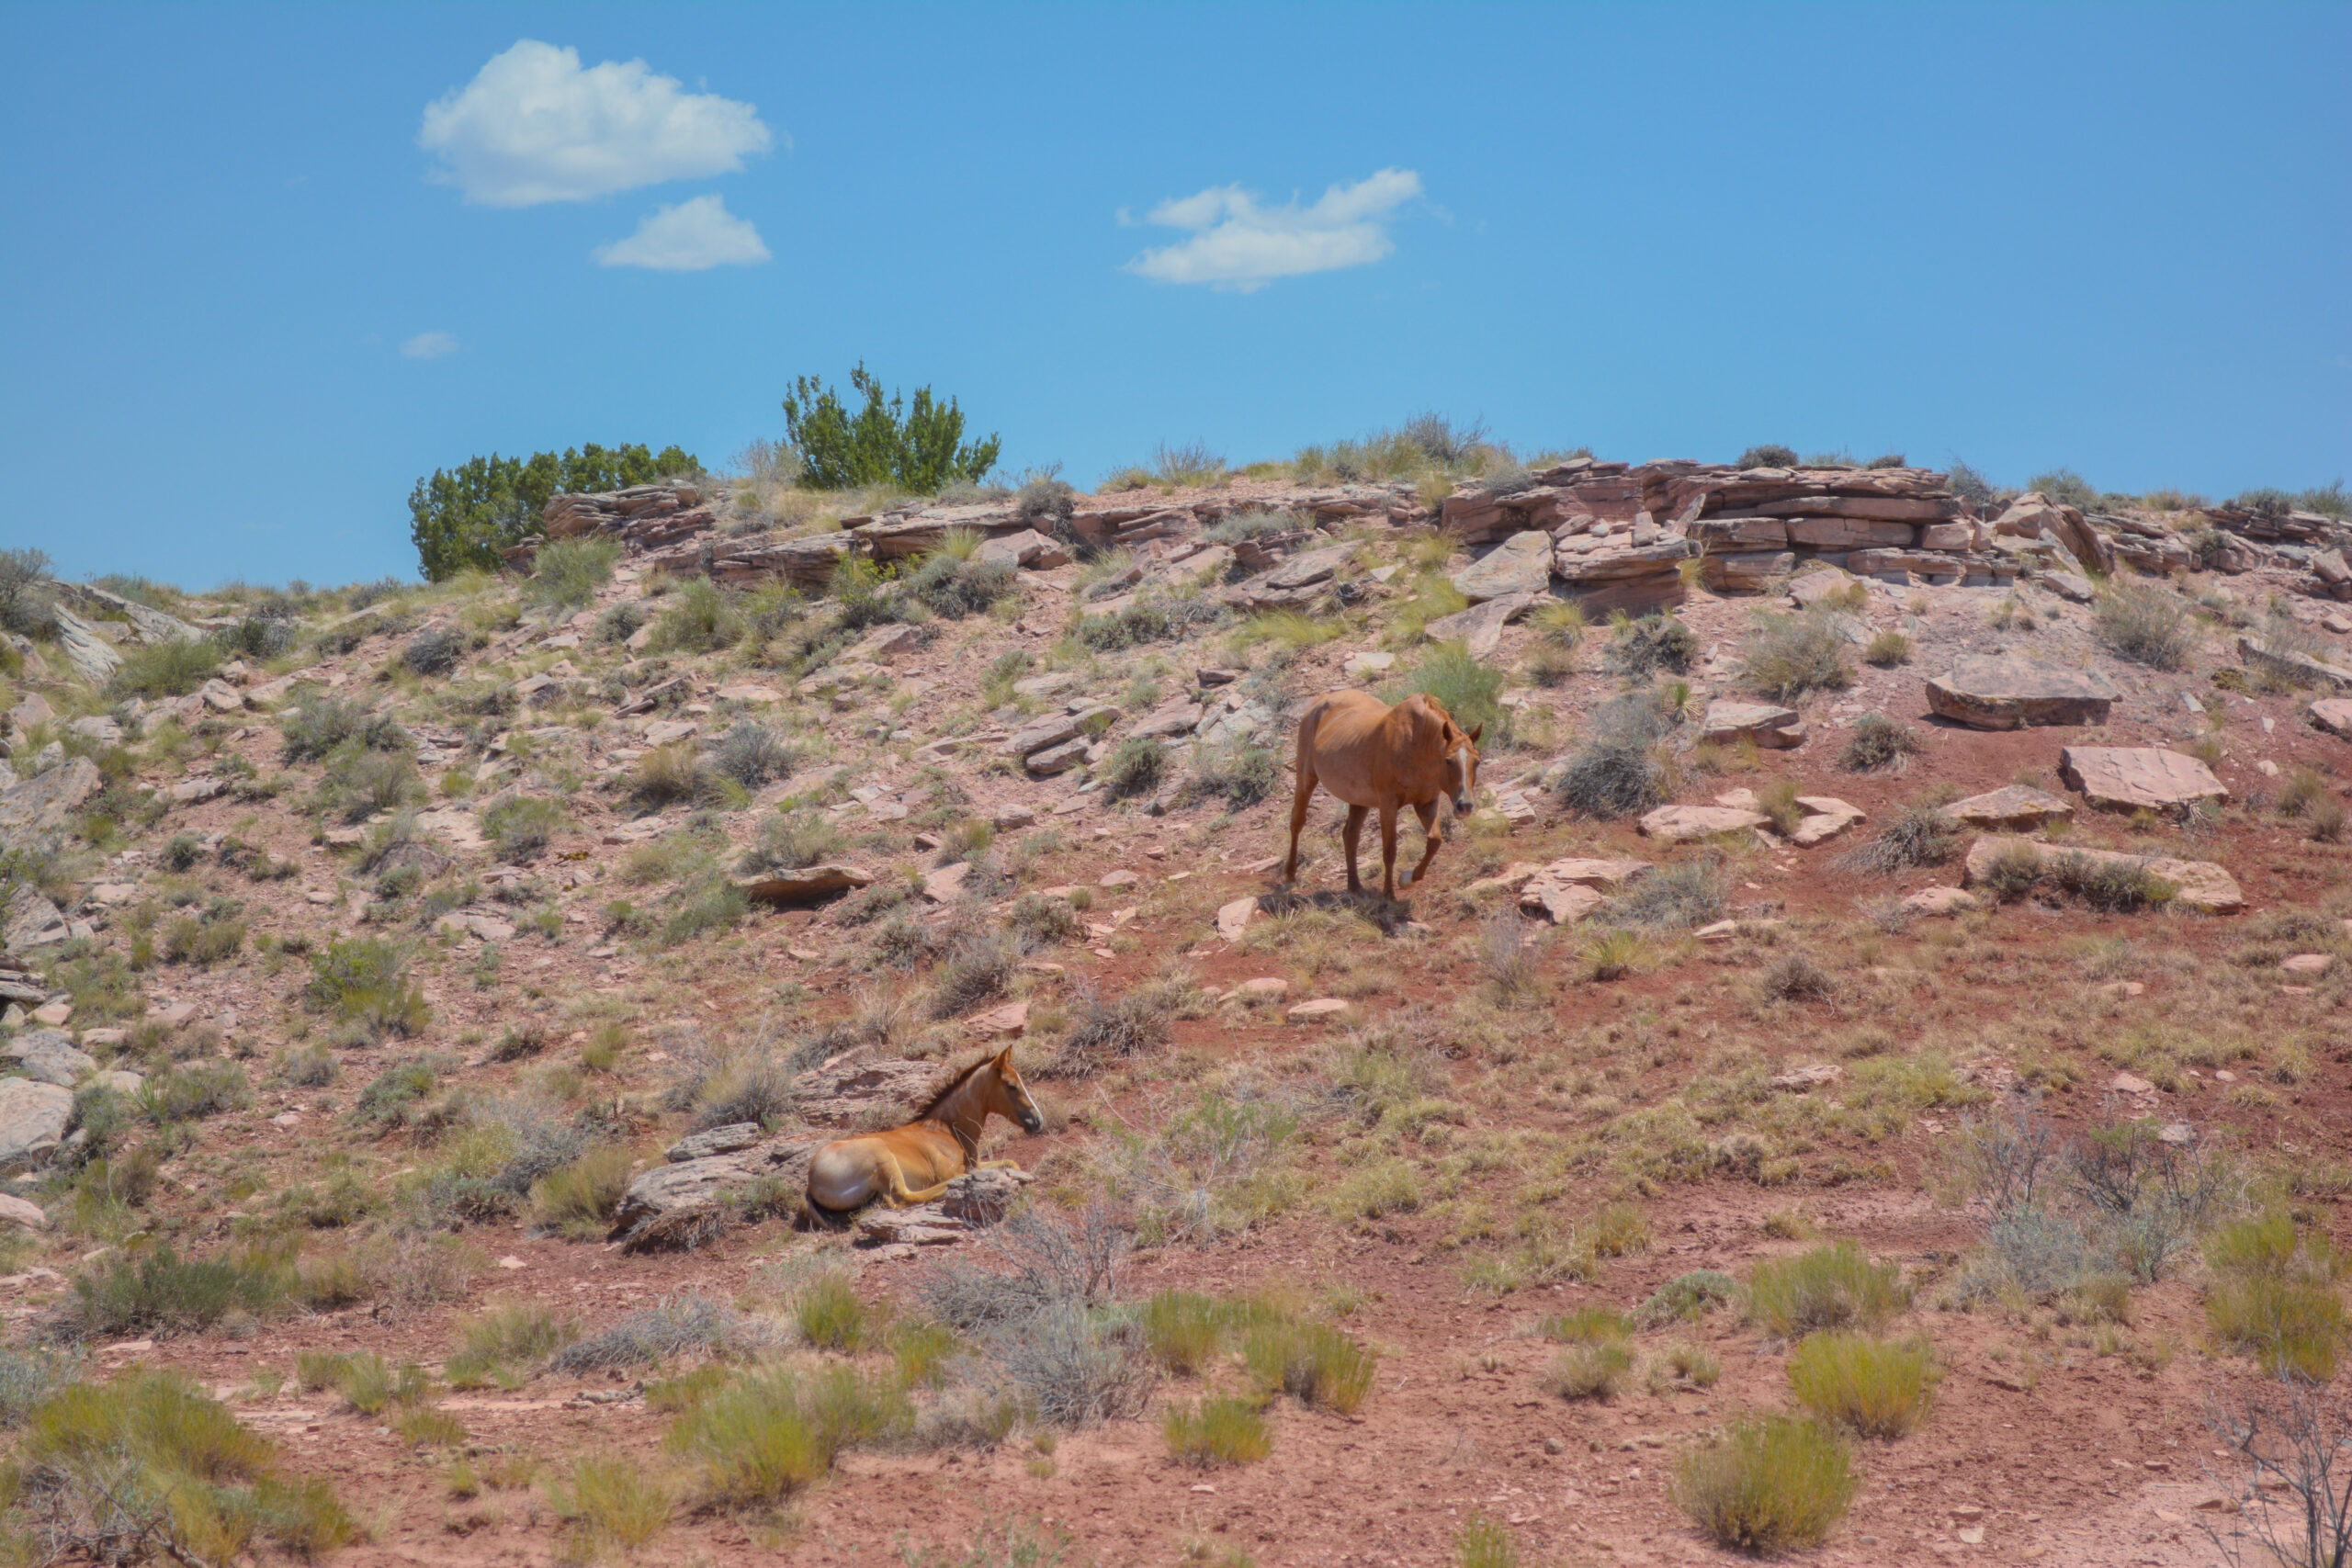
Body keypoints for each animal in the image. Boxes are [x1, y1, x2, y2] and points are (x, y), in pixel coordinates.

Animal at [804, 1047, 1045, 1213]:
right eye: (1011, 1085)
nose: (1038, 1120)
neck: (947, 1129)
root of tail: (811, 1180)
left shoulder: (979, 1163)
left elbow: (1012, 1163)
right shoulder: (954, 1169)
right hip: (882, 1156)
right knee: (905, 1197)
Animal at [1283, 690, 1482, 903]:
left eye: (1477, 761)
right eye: (1448, 761)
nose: (1465, 805)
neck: (1415, 743)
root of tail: (1321, 700)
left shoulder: (1426, 803)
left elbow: (1434, 841)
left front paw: (1408, 878)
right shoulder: (1388, 805)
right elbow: (1389, 850)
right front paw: (1388, 894)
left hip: (1358, 800)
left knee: (1350, 835)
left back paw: (1355, 886)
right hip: (1306, 778)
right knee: (1297, 822)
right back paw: (1290, 876)